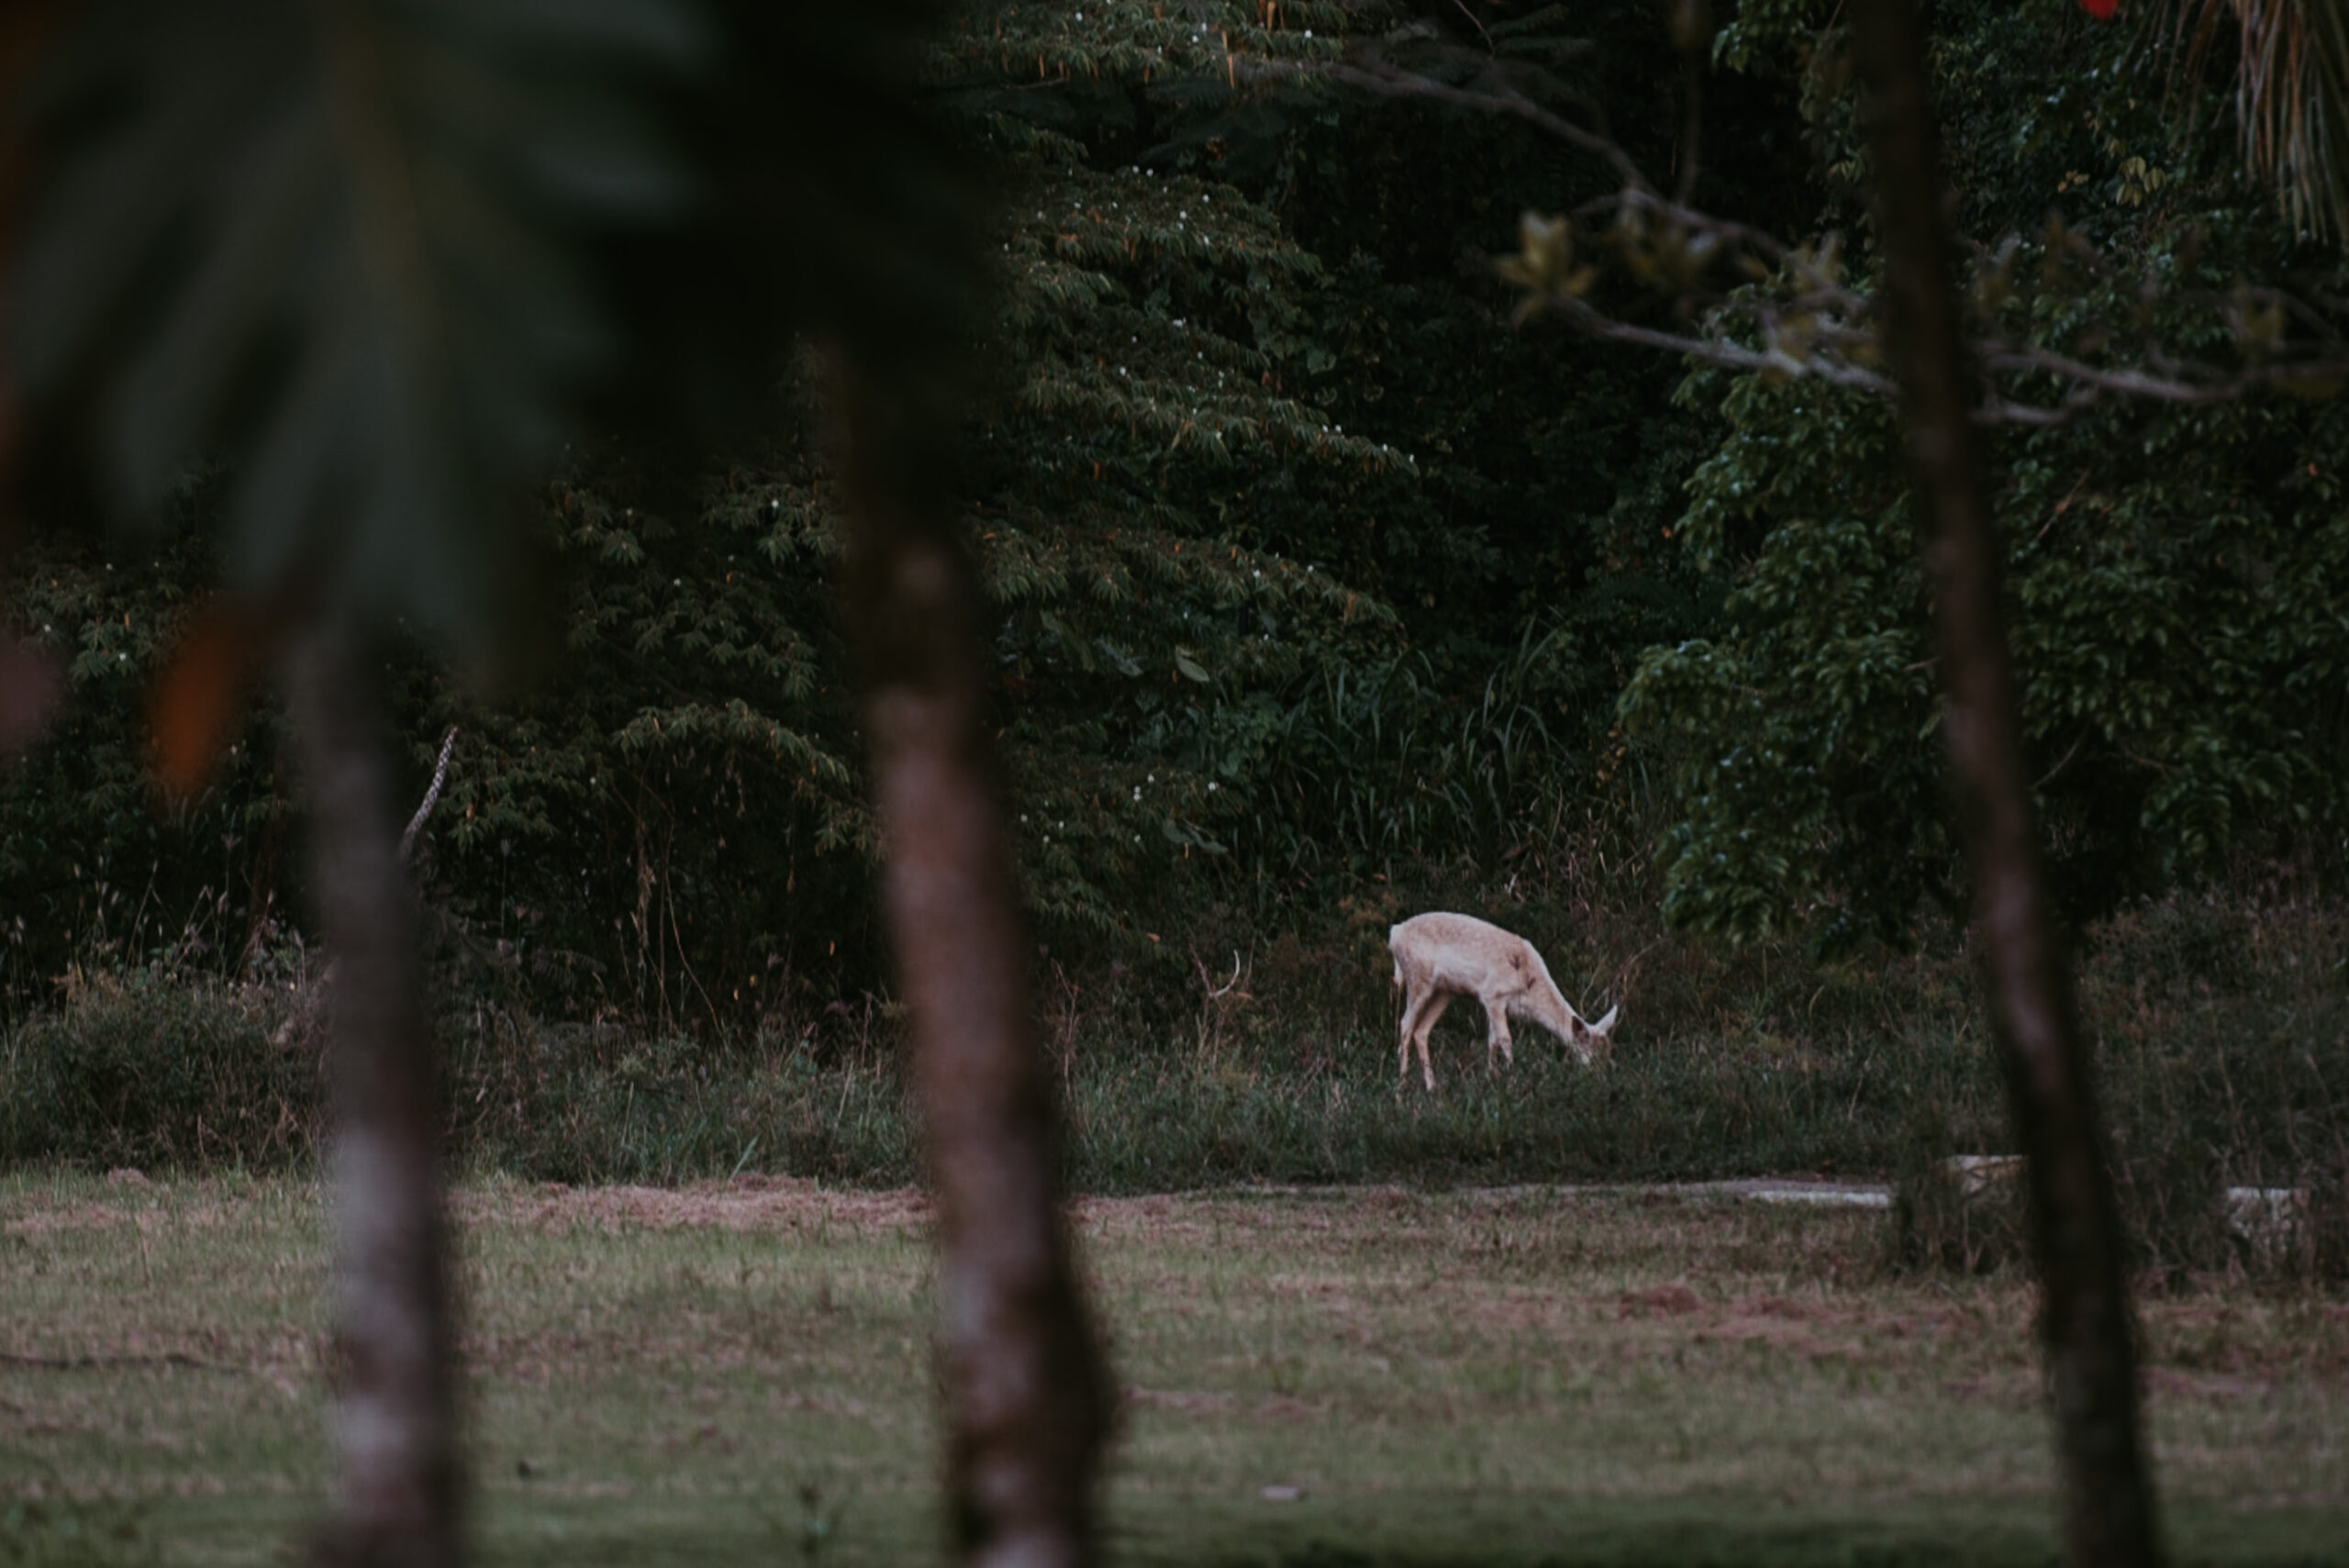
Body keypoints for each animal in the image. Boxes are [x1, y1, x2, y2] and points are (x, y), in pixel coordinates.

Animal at [1390, 906, 1616, 1089]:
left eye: (1607, 1052)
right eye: (1592, 1053)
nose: (1602, 1077)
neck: (1528, 986)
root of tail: (1394, 934)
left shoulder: (1497, 1005)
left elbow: (1492, 1041)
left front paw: (1492, 1078)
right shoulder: (1492, 995)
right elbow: (1505, 1039)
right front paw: (1512, 1080)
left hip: (1444, 991)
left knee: (1421, 1031)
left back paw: (1432, 1087)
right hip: (1418, 978)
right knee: (1405, 1024)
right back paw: (1402, 1086)